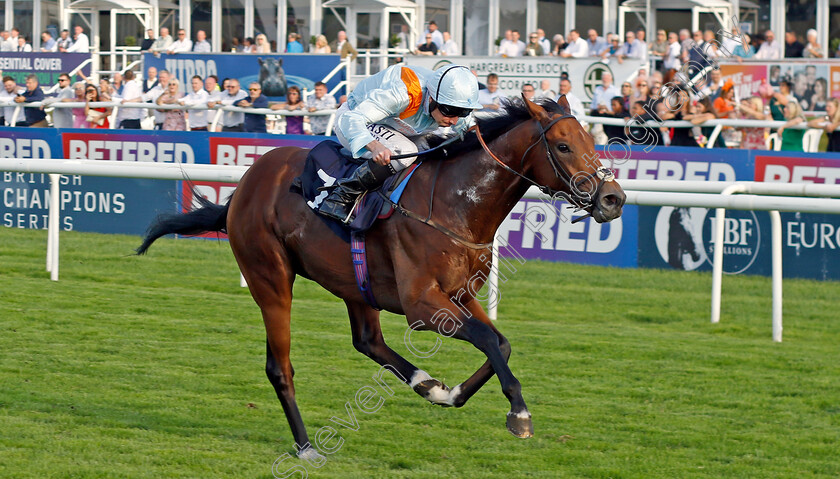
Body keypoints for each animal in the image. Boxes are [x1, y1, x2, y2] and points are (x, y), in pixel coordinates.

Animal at [138, 95, 624, 460]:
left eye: (590, 139)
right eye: (562, 146)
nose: (613, 198)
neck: (457, 204)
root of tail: (244, 185)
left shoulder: (459, 296)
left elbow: (500, 343)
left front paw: (453, 392)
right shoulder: (422, 304)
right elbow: (488, 339)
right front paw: (519, 415)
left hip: (355, 283)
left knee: (367, 340)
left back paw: (426, 383)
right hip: (270, 278)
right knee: (280, 366)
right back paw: (306, 445)